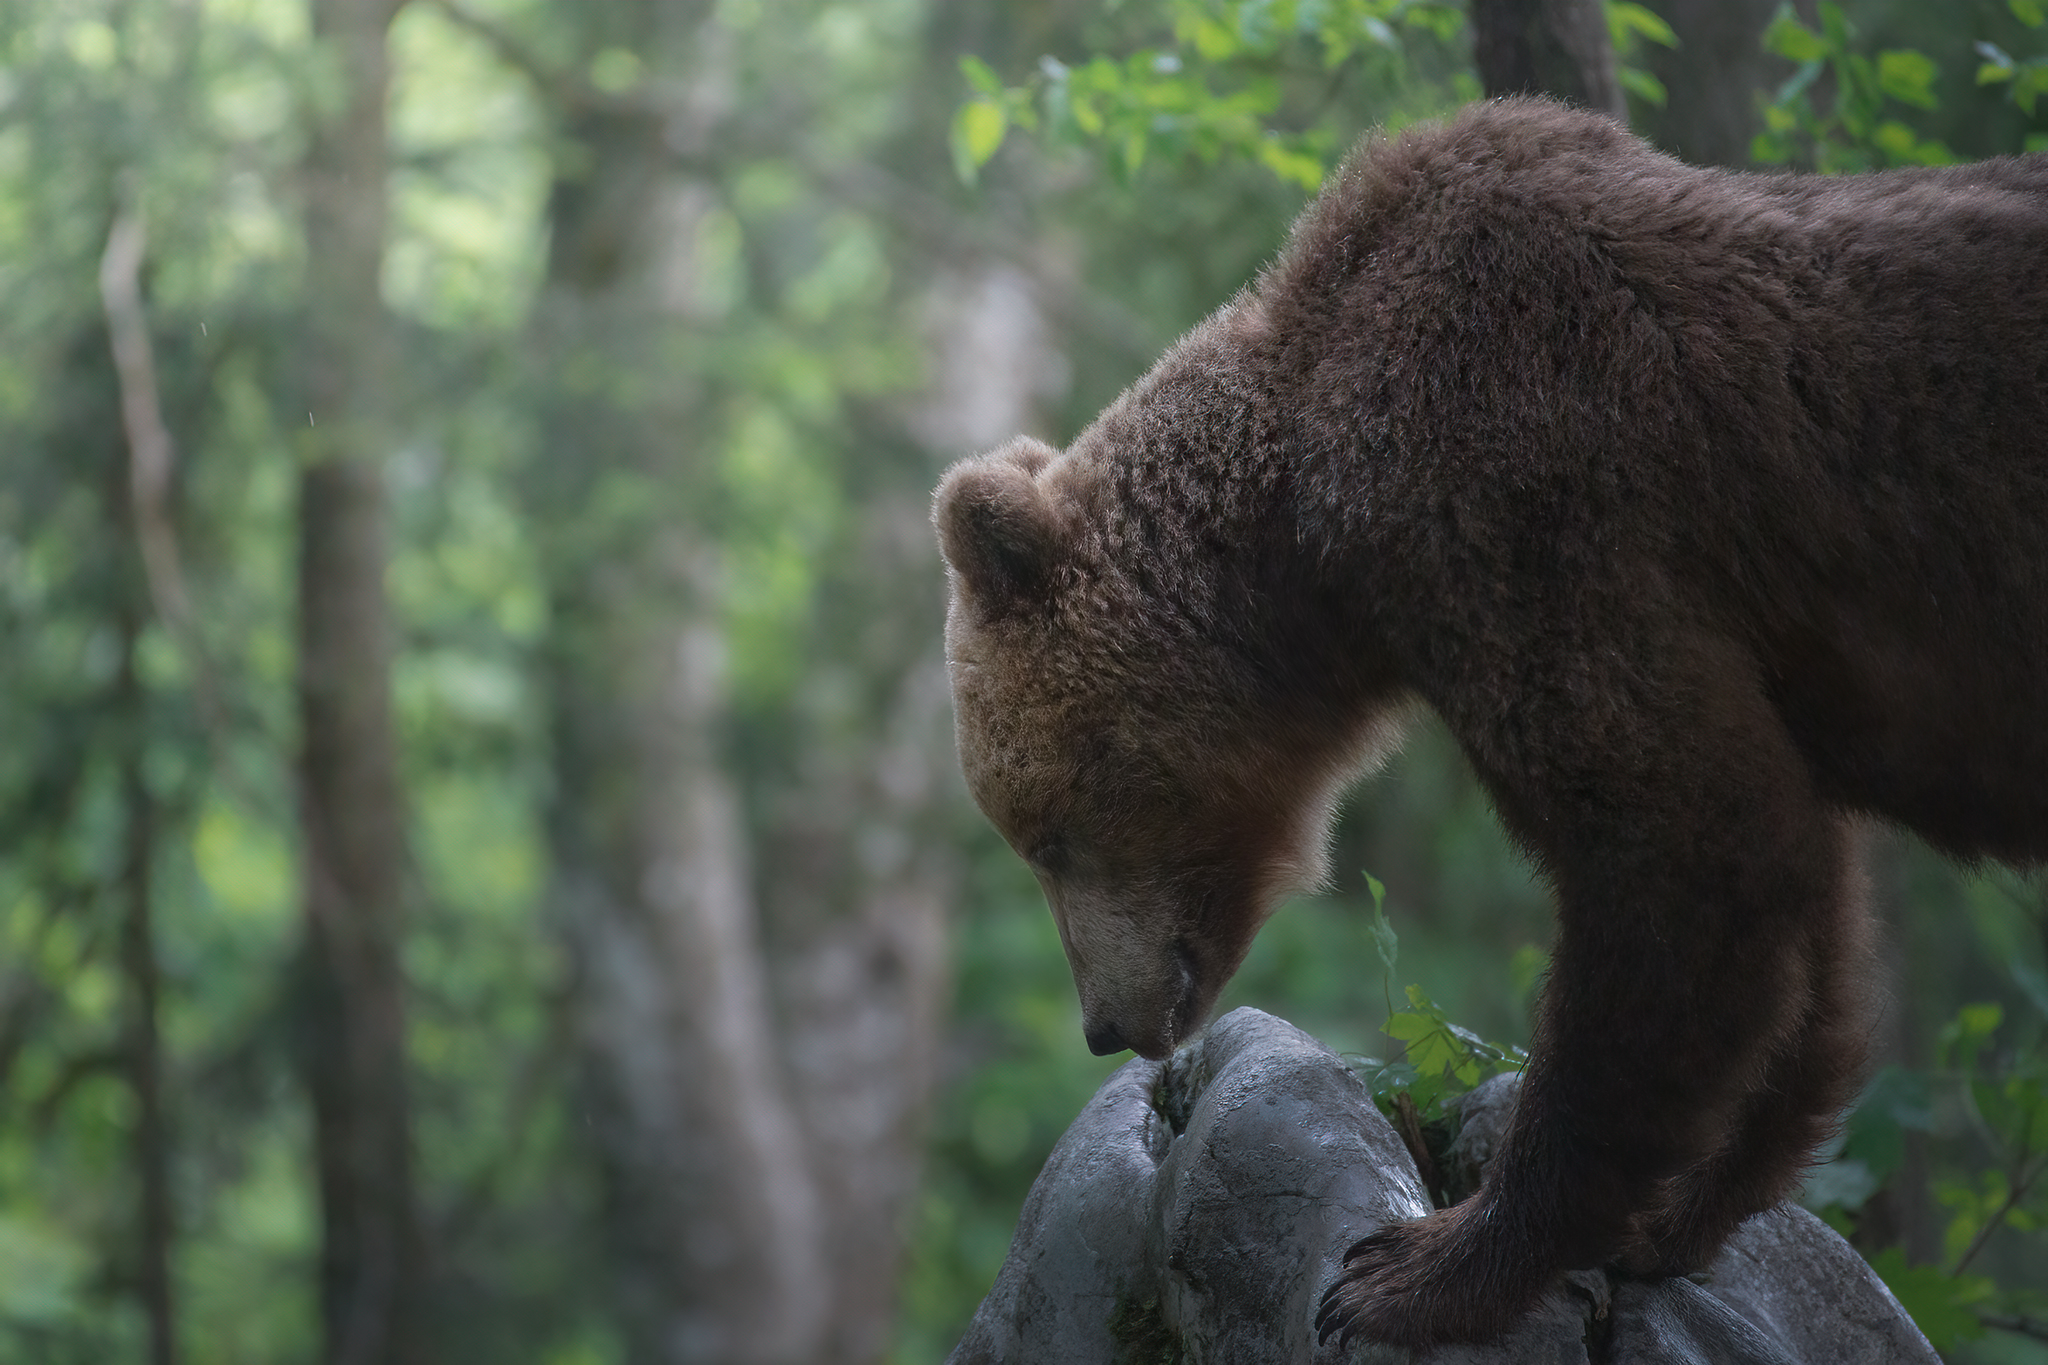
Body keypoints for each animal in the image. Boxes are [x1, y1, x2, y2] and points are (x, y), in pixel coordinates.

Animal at [932, 97, 2048, 1349]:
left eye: (1043, 836)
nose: (1100, 1026)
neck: (1308, 531)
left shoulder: (1522, 498)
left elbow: (1678, 845)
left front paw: (1414, 1265)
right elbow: (1800, 906)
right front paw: (1685, 1209)